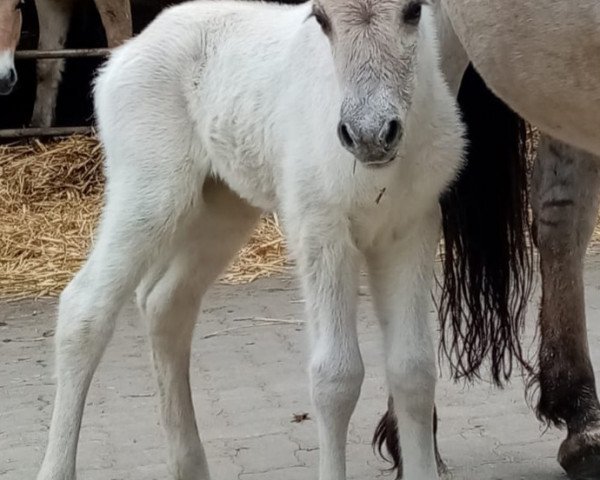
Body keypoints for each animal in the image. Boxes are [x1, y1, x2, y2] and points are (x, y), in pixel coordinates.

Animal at [36, 0, 464, 480]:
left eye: (412, 11)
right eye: (322, 18)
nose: (369, 134)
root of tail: (128, 51)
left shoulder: (411, 229)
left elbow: (413, 370)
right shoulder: (321, 231)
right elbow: (336, 377)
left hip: (222, 207)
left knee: (165, 303)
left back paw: (190, 465)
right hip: (150, 193)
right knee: (84, 309)